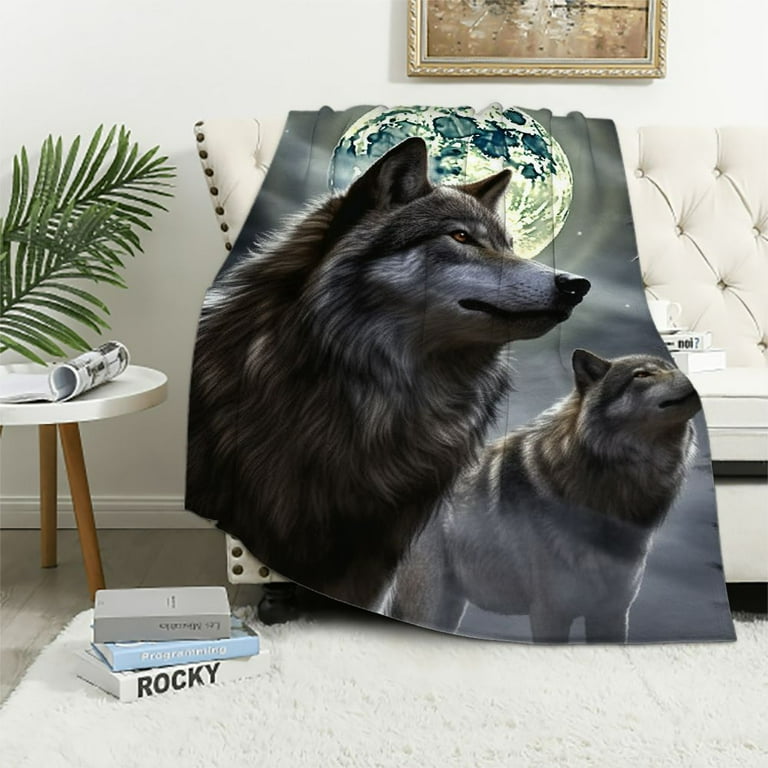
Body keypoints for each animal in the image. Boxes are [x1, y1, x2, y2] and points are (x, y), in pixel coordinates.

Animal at [389, 349, 701, 642]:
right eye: (642, 375)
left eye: (671, 367)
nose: (690, 376)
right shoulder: (550, 613)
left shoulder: (612, 612)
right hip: (430, 604)